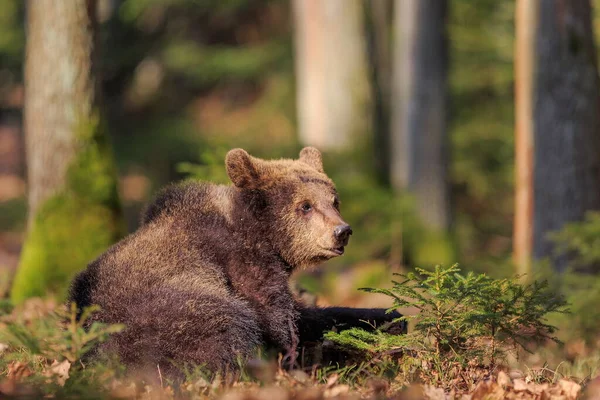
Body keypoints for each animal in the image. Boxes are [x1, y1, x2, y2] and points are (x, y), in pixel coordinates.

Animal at [70, 147, 404, 376]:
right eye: (305, 205)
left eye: (334, 201)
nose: (342, 231)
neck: (262, 234)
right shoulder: (241, 261)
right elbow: (280, 322)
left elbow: (308, 315)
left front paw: (388, 316)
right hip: (163, 313)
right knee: (225, 326)